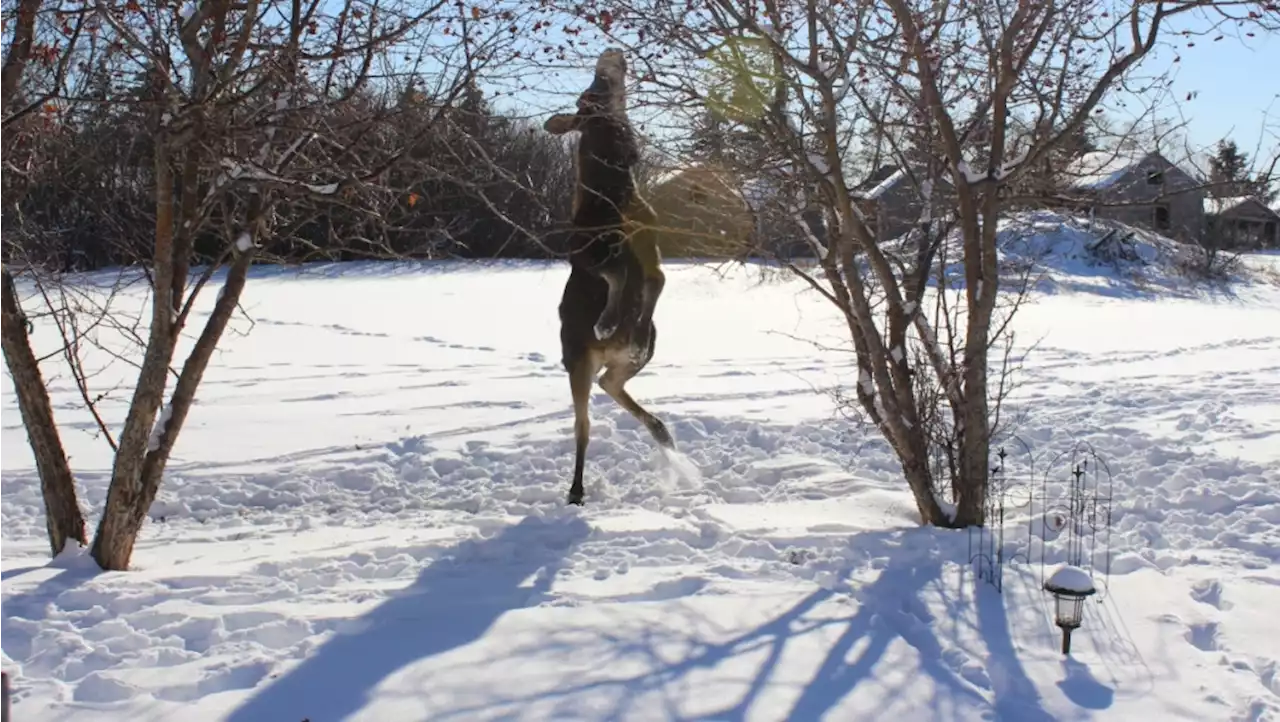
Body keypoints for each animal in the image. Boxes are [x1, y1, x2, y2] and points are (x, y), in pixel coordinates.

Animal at [542, 48, 675, 504]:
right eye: (592, 90)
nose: (611, 55)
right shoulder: (589, 253)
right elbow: (618, 277)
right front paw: (607, 319)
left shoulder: (650, 247)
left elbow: (655, 281)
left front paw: (628, 322)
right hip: (576, 362)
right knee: (583, 425)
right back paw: (576, 488)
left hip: (631, 359)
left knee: (611, 383)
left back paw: (661, 430)